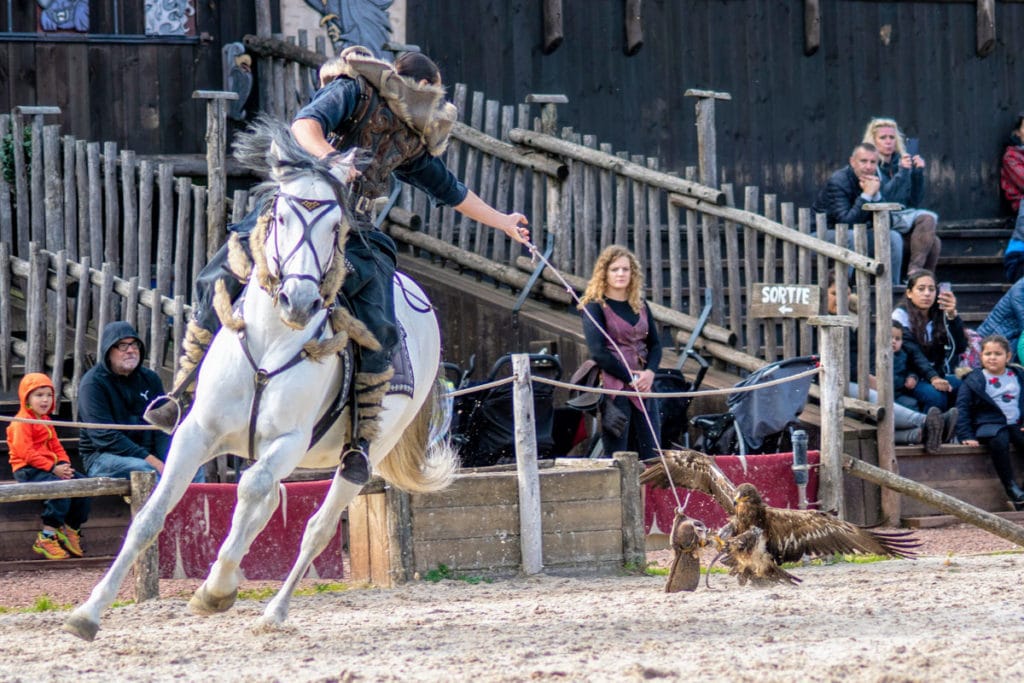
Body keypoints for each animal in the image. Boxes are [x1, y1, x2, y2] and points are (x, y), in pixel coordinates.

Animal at [66, 118, 458, 643]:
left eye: (335, 226)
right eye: (283, 217)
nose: (299, 301)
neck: (271, 343)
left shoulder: (288, 442)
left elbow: (250, 492)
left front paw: (216, 587)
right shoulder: (197, 433)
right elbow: (151, 517)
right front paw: (88, 612)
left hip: (361, 454)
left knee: (314, 524)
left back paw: (273, 610)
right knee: (272, 500)